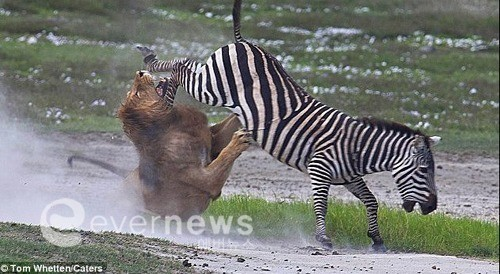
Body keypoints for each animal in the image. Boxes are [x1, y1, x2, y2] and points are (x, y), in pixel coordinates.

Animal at [67, 71, 250, 220]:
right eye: (137, 93)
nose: (140, 72)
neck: (173, 123)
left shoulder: (213, 139)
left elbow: (234, 116)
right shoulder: (204, 180)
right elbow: (223, 159)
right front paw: (239, 139)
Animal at [138, 0, 442, 250]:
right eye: (424, 170)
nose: (432, 208)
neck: (357, 148)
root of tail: (245, 42)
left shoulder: (350, 177)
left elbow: (371, 200)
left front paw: (376, 239)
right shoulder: (320, 168)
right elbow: (322, 204)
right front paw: (323, 238)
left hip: (211, 81)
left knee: (184, 66)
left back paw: (163, 90)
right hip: (211, 86)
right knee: (181, 66)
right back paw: (153, 68)